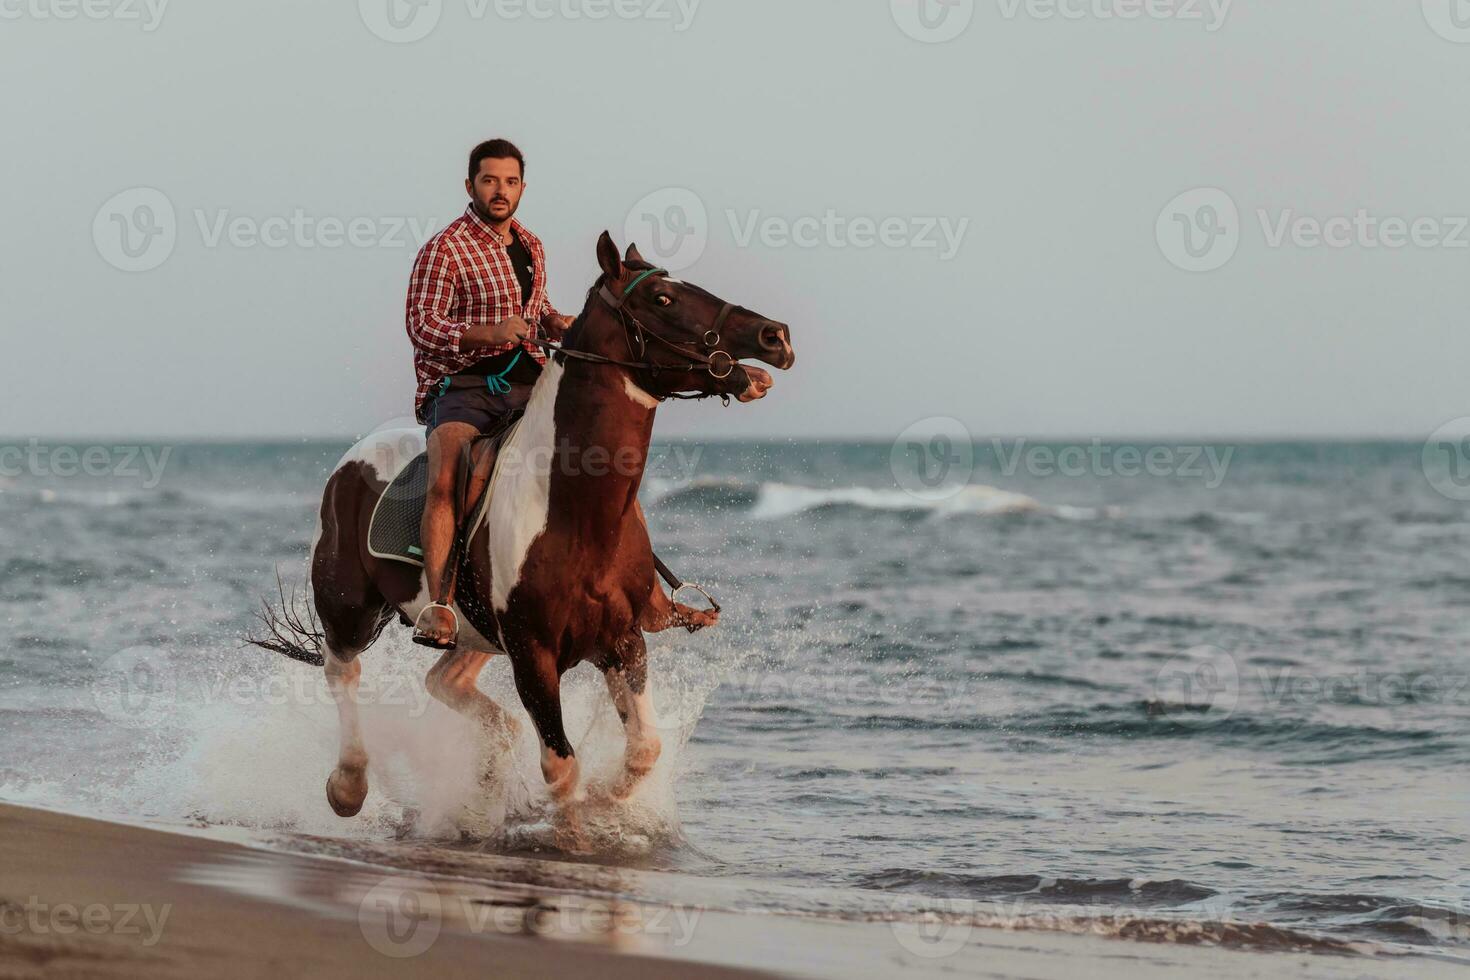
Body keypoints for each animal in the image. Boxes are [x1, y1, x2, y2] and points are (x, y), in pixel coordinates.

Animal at [264, 235, 793, 822]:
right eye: (662, 298)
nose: (775, 336)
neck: (574, 514)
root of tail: (355, 458)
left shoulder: (623, 641)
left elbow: (644, 749)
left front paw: (608, 801)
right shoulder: (533, 656)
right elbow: (562, 770)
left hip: (475, 633)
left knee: (442, 680)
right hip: (350, 607)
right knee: (342, 670)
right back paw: (349, 785)